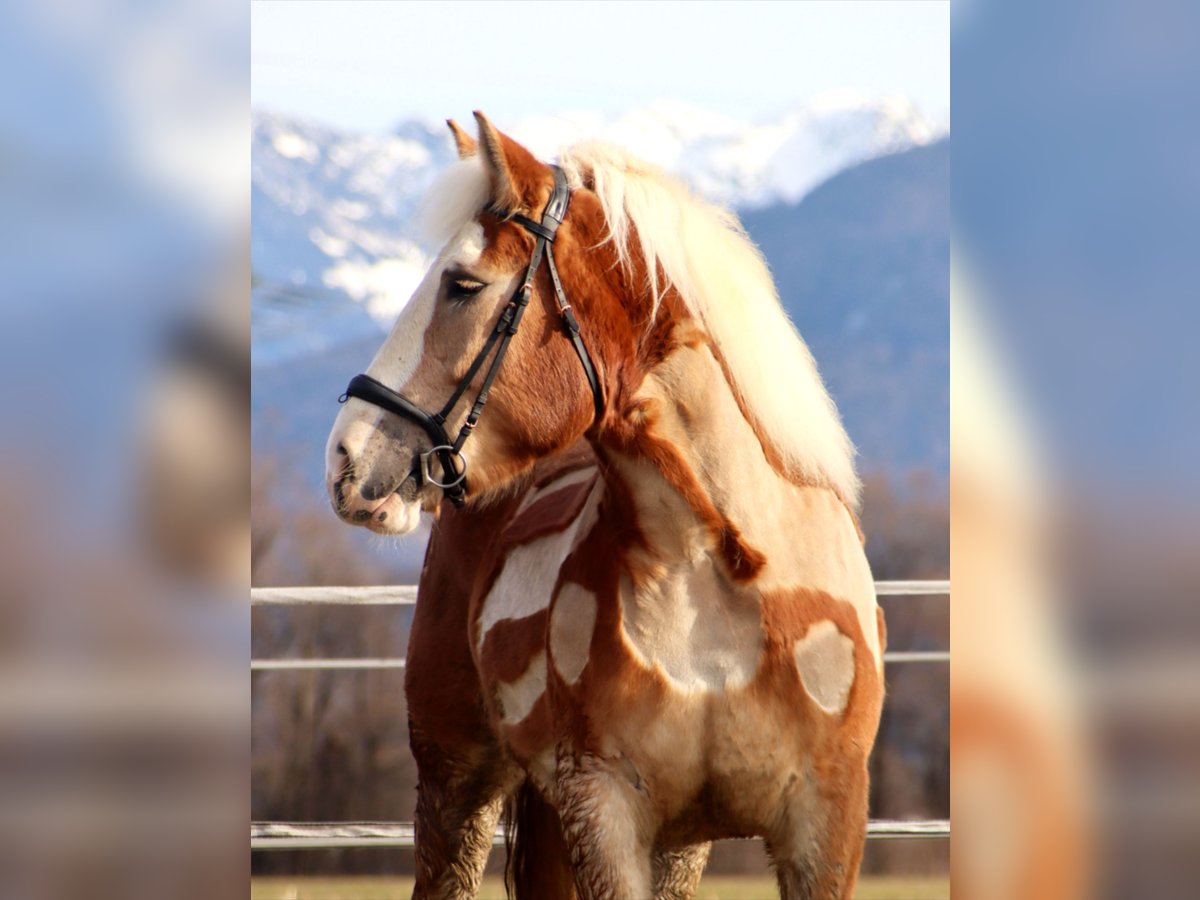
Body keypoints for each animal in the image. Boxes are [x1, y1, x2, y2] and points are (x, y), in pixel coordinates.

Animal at [324, 112, 888, 900]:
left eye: (463, 285)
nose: (344, 459)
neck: (720, 569)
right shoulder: (602, 810)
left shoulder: (826, 826)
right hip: (456, 787)